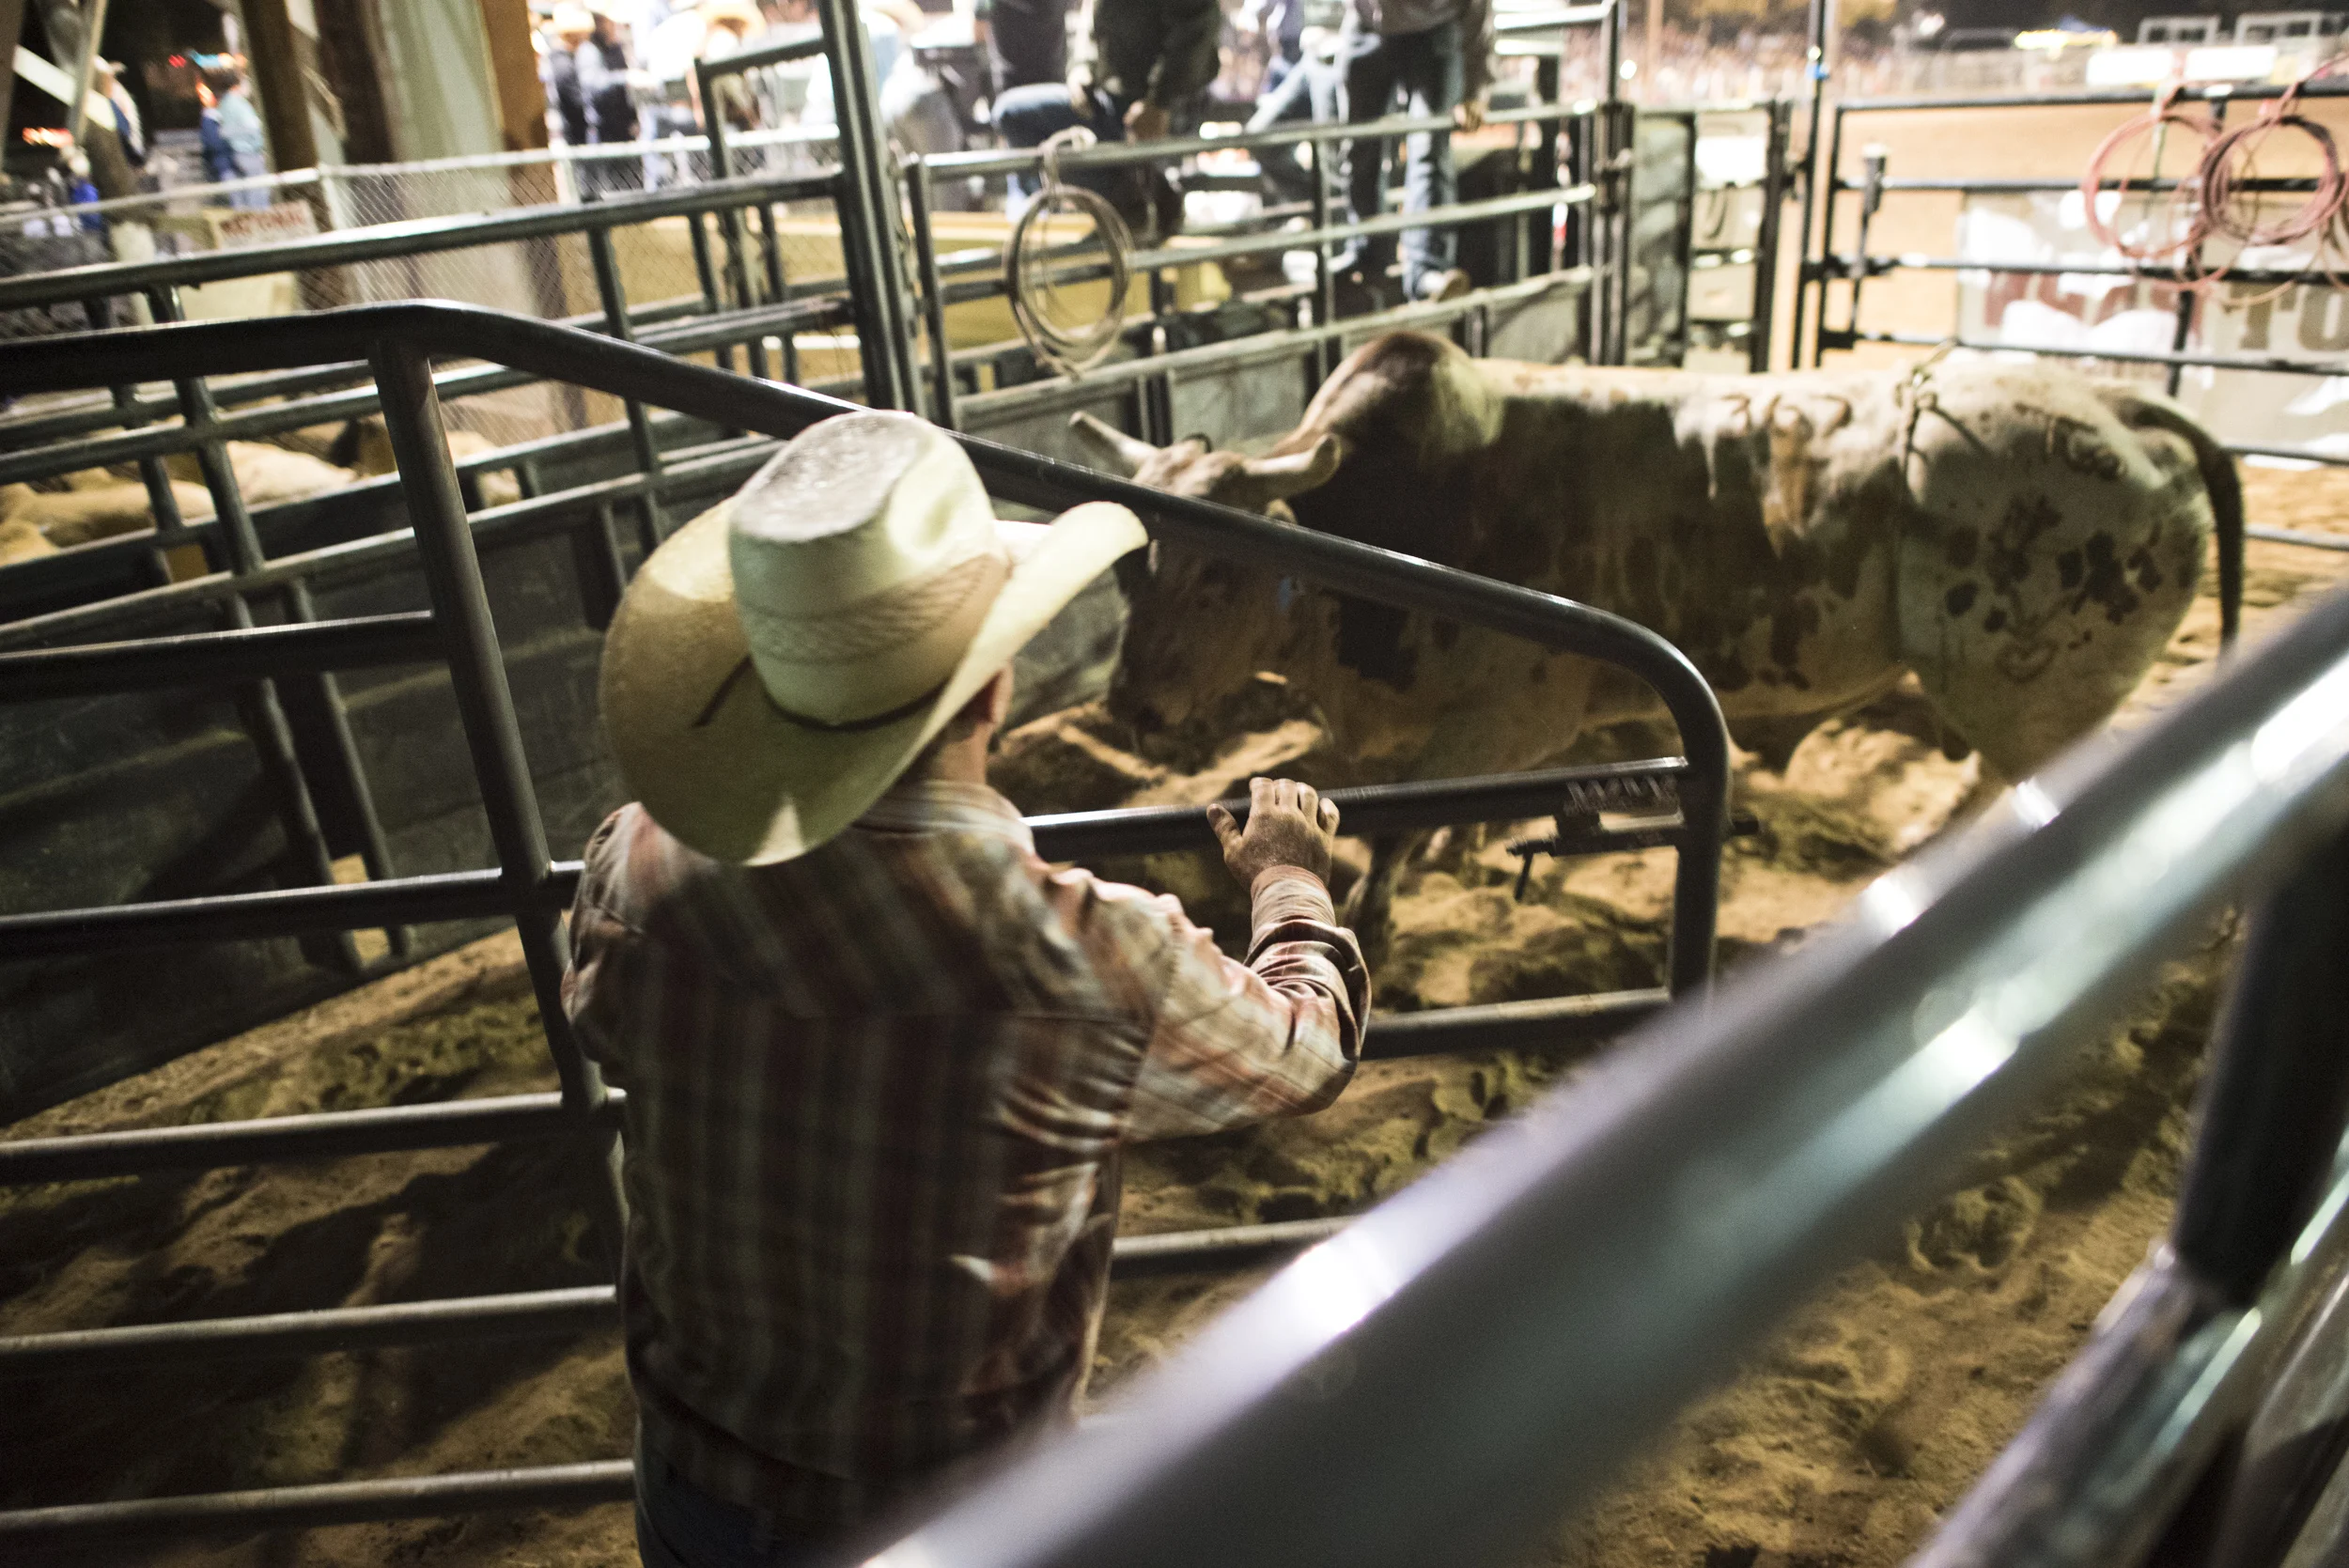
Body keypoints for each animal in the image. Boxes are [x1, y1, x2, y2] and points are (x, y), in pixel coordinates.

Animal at [1072, 330, 2246, 952]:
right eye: (1131, 565)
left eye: (1217, 570)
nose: (1131, 707)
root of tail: (2121, 411)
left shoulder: (1509, 716)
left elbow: (1399, 826)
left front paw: (1385, 911)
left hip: (2032, 701)